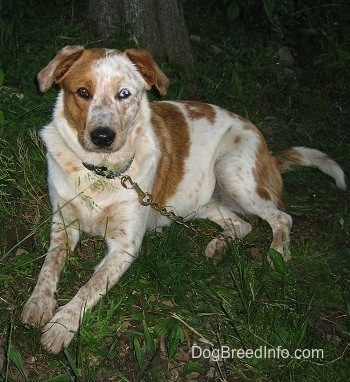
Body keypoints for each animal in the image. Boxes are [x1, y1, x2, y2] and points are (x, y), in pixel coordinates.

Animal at [22, 46, 348, 354]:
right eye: (83, 92)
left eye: (124, 94)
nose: (103, 137)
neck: (101, 172)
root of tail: (268, 152)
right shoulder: (63, 226)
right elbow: (49, 266)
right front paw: (39, 303)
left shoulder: (124, 246)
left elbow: (90, 287)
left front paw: (62, 325)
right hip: (199, 202)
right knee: (241, 225)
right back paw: (219, 245)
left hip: (232, 171)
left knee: (282, 217)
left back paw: (277, 252)